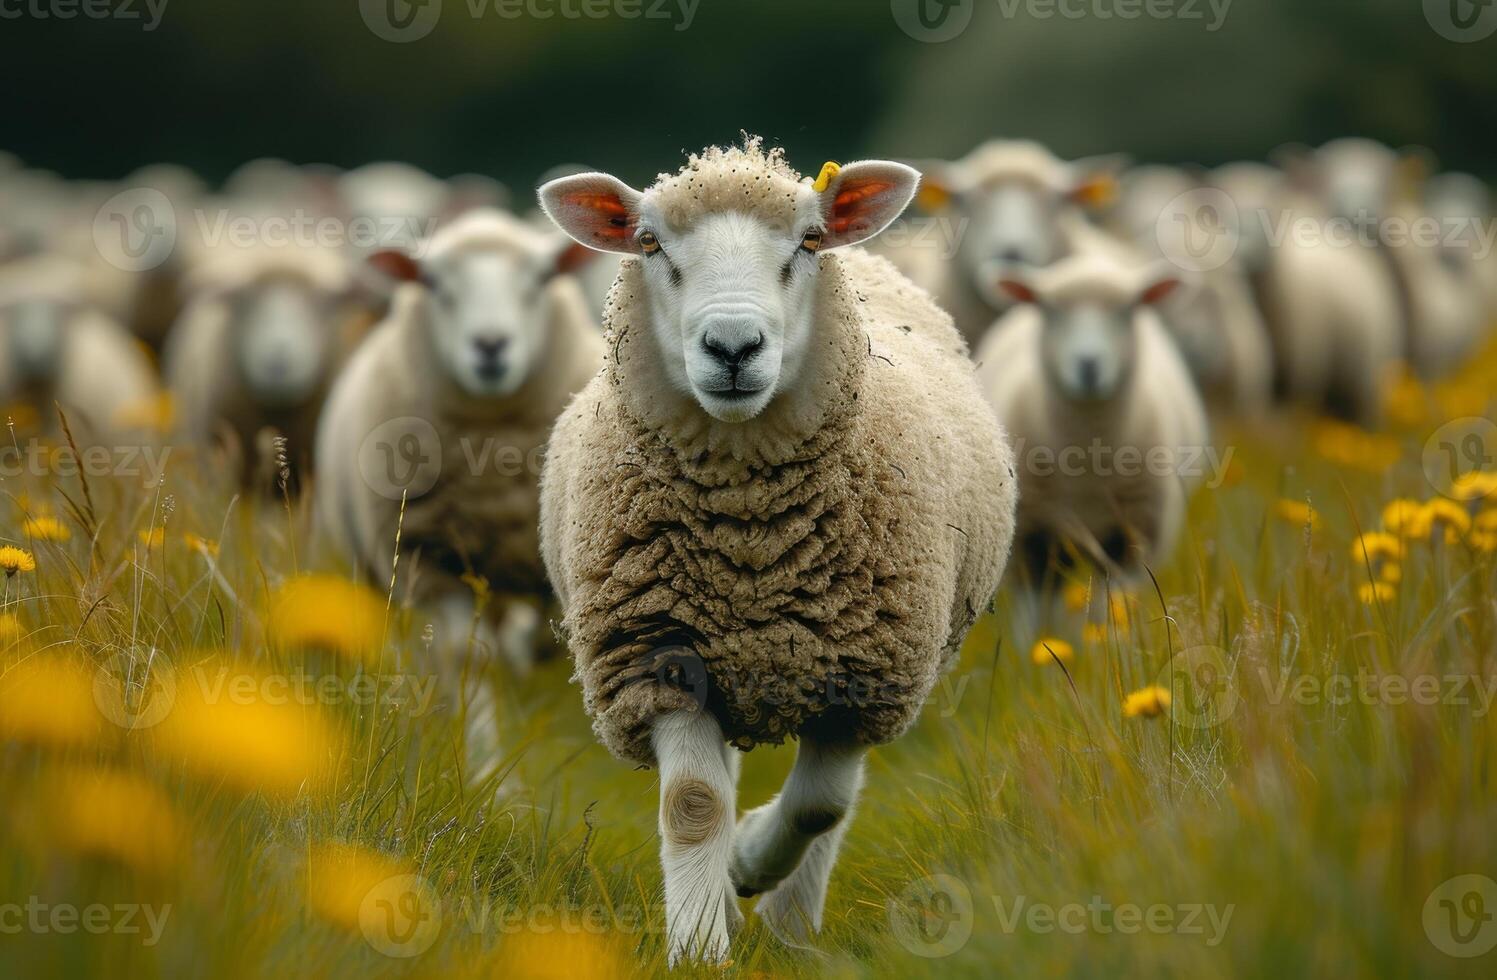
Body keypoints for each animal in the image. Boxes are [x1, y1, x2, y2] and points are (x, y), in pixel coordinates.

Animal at [538, 137, 1017, 963]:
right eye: (650, 243)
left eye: (807, 241)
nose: (733, 347)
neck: (751, 540)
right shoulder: (657, 657)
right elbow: (694, 803)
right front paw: (699, 946)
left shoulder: (862, 675)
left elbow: (819, 807)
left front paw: (748, 864)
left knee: (829, 806)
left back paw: (791, 927)